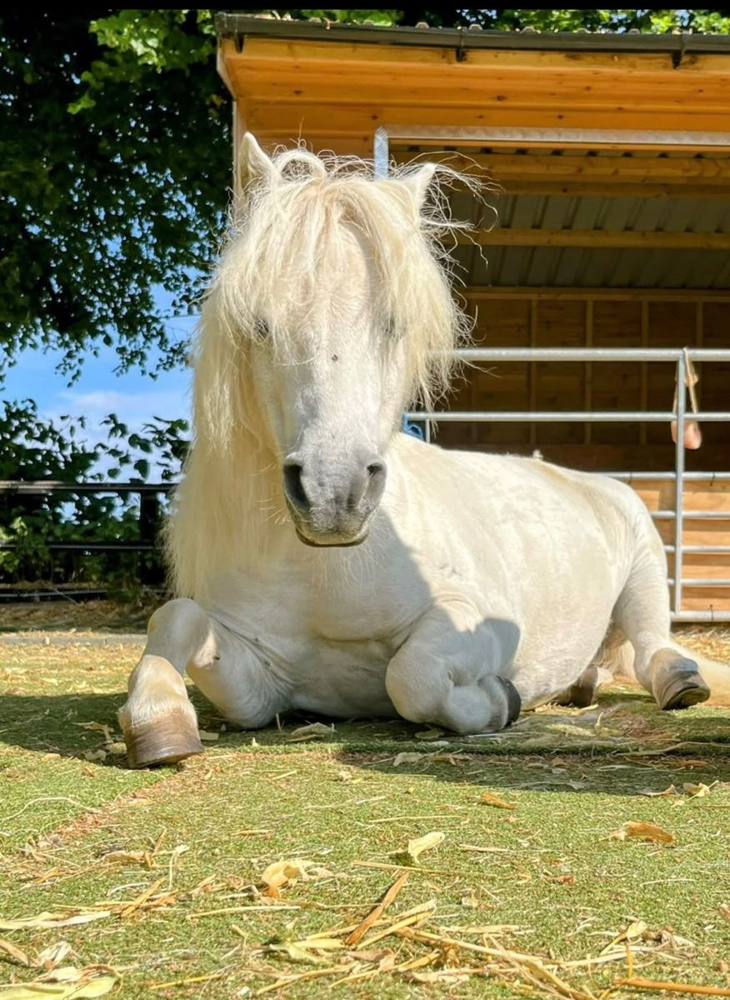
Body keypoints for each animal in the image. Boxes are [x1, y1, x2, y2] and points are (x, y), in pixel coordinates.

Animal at [120, 134, 729, 768]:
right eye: (261, 325)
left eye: (395, 325)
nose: (334, 495)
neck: (326, 575)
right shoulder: (259, 681)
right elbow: (177, 620)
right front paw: (159, 720)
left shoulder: (475, 622)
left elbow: (412, 676)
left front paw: (500, 701)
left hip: (645, 571)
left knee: (654, 647)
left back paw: (679, 682)